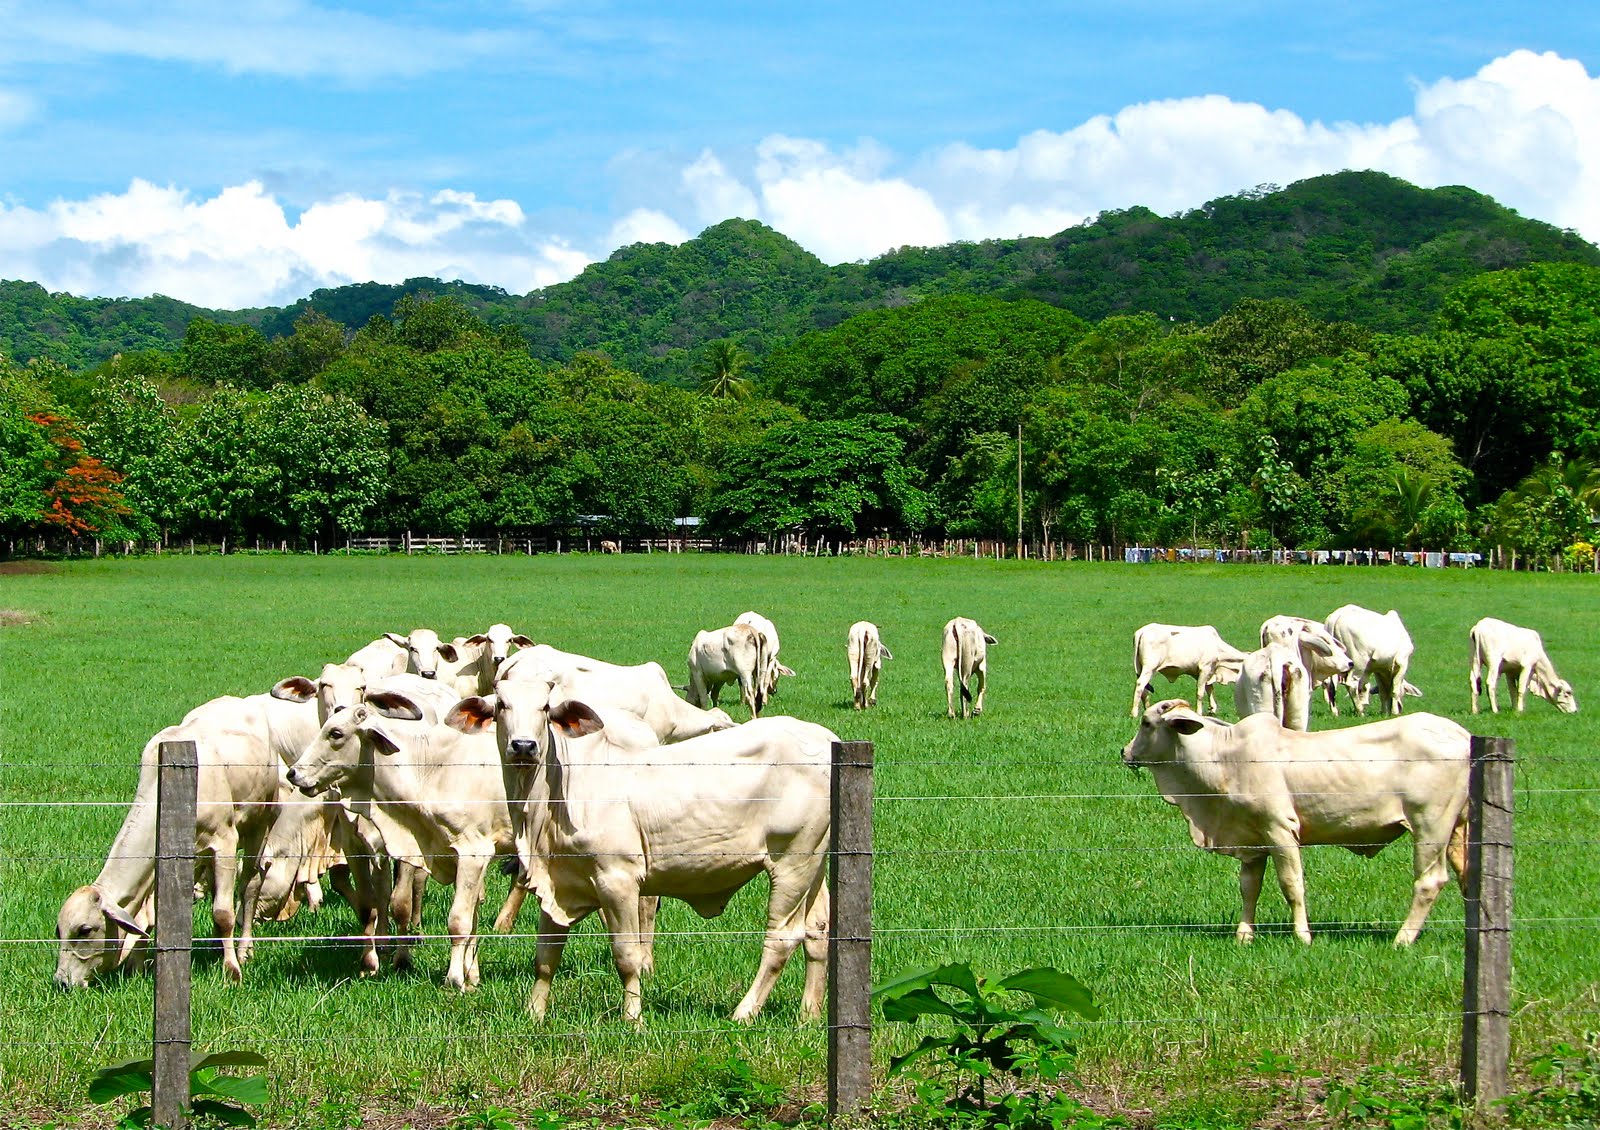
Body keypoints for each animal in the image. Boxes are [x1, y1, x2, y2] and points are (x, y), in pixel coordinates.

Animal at [55, 692, 316, 989]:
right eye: (59, 930)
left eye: (85, 929)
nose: (62, 981)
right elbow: (153, 914)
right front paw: (137, 966)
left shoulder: (225, 843)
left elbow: (223, 913)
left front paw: (232, 970)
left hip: (260, 824)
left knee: (249, 886)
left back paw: (243, 950)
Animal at [284, 677, 514, 991]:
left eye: (336, 733)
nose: (293, 773)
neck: (429, 770)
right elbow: (473, 917)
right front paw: (471, 976)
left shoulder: (474, 852)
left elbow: (458, 921)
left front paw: (454, 980)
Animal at [448, 688, 833, 1025]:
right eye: (501, 704)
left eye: (545, 707)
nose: (524, 746)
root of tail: (825, 738)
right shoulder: (557, 883)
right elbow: (545, 957)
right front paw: (534, 1014)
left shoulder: (618, 880)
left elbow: (627, 956)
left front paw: (633, 1018)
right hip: (814, 862)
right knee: (818, 930)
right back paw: (809, 1015)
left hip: (793, 861)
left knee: (782, 938)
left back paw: (744, 1012)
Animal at [1123, 699, 1470, 947]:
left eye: (1146, 722)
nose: (1125, 751)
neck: (1224, 757)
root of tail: (1463, 734)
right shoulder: (1252, 840)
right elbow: (1249, 888)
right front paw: (1244, 935)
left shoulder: (1280, 830)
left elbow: (1292, 885)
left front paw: (1303, 936)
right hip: (1458, 827)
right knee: (1467, 875)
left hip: (1430, 825)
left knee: (1429, 881)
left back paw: (1402, 939)